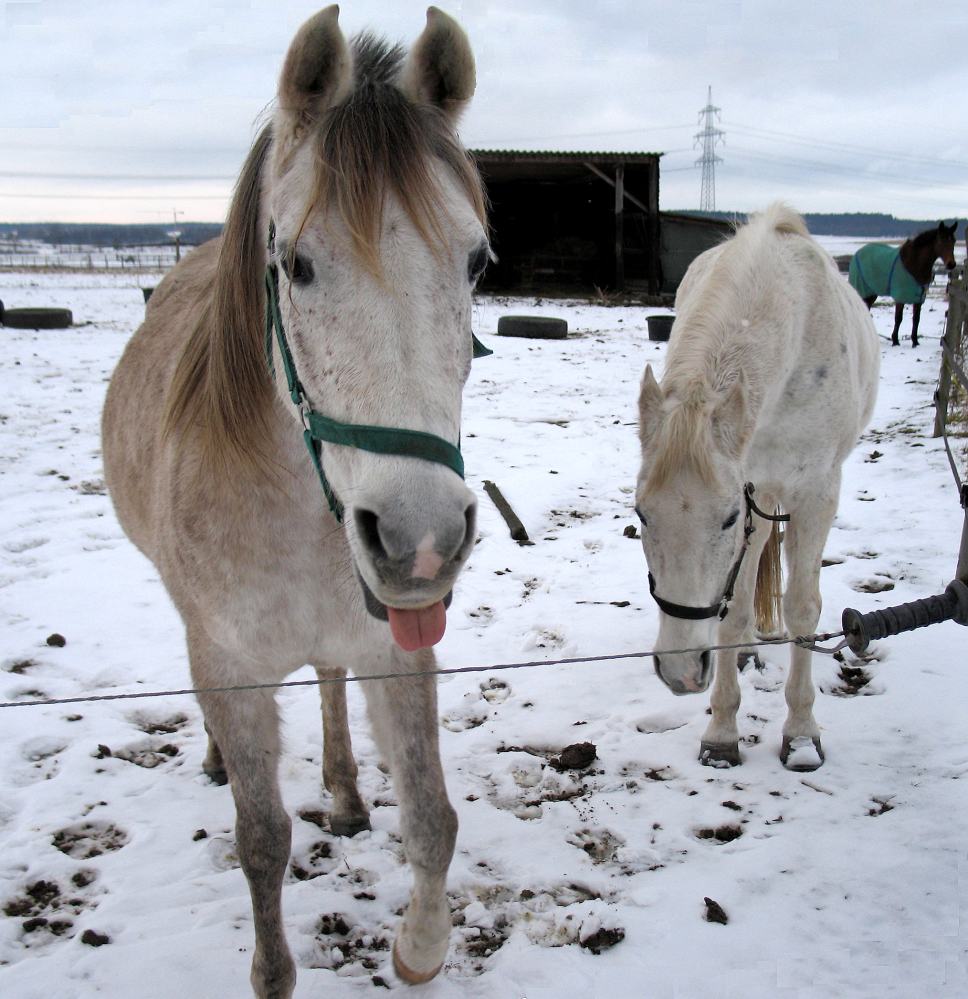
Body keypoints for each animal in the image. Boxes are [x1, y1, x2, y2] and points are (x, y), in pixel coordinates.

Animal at [102, 5, 488, 992]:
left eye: (476, 260)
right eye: (297, 264)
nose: (421, 538)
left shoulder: (396, 646)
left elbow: (433, 815)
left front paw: (417, 946)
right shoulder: (232, 666)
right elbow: (262, 841)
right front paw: (272, 972)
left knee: (326, 677)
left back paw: (347, 793)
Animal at [636, 205, 876, 772]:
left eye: (724, 518)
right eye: (641, 516)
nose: (679, 671)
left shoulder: (815, 493)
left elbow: (803, 608)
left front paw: (802, 734)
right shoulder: (750, 487)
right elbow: (735, 610)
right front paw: (722, 732)